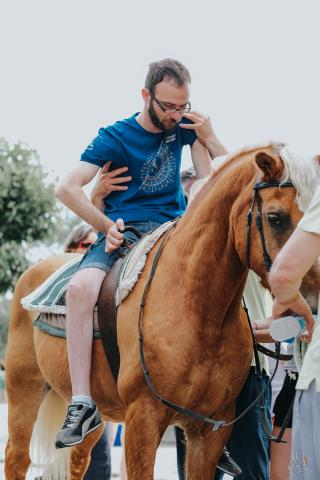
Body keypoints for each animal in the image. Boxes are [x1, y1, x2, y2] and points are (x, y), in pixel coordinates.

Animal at [4, 141, 320, 478]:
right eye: (276, 217)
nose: (311, 301)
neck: (199, 312)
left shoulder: (211, 431)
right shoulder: (143, 420)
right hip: (24, 391)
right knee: (16, 458)